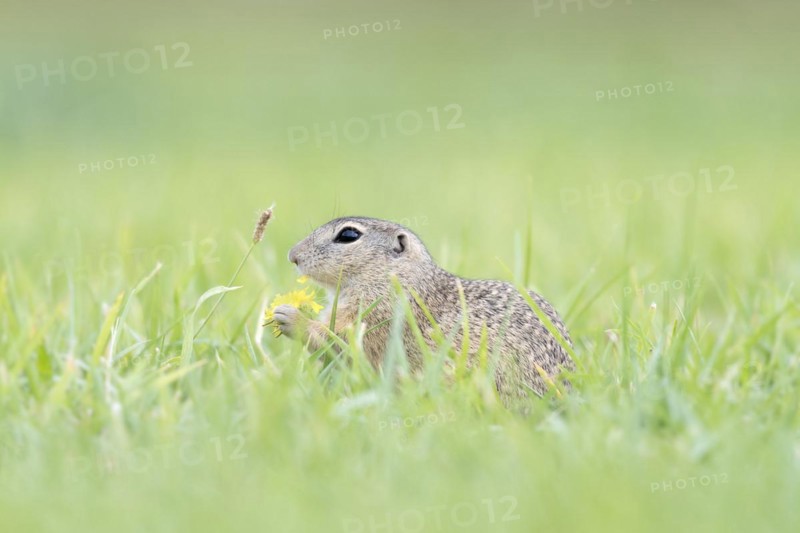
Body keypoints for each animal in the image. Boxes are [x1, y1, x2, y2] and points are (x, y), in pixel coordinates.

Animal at [272, 216, 574, 398]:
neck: (398, 278)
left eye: (348, 235)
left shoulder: (378, 316)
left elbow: (341, 341)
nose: (292, 255)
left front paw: (289, 316)